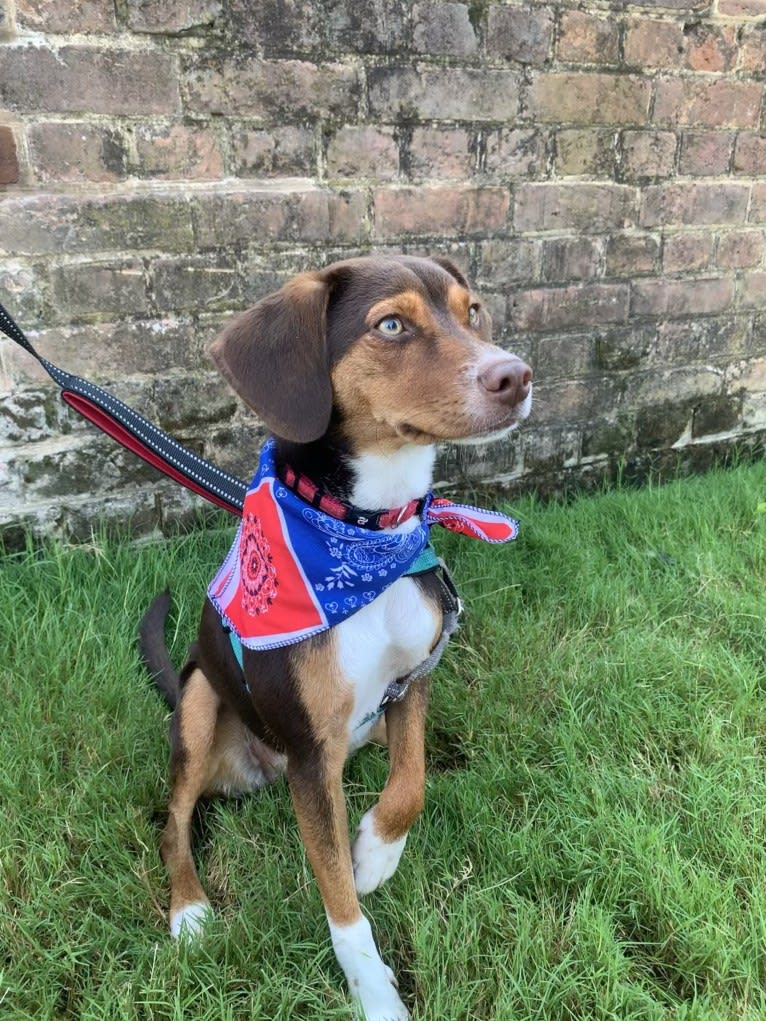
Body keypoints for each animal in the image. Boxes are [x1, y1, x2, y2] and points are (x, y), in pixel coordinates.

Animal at [139, 251, 535, 1016]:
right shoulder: (309, 752)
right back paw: (189, 909)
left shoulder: (412, 682)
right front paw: (373, 991)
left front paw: (376, 851)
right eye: (391, 326)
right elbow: (340, 902)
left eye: (472, 312)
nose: (516, 375)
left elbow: (412, 784)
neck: (365, 533)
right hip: (200, 702)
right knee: (172, 824)